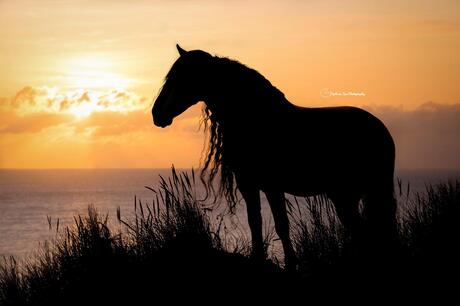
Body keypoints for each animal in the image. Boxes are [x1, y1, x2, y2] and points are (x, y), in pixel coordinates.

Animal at [152, 44, 398, 268]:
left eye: (180, 78)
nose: (156, 113)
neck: (260, 119)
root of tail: (380, 129)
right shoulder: (249, 185)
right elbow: (256, 221)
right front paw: (262, 258)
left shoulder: (270, 186)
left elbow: (279, 224)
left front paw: (287, 263)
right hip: (354, 194)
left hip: (352, 193)